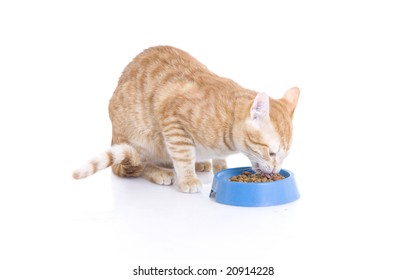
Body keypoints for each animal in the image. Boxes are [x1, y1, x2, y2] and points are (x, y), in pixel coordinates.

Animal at [73, 45, 300, 192]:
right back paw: (161, 171)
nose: (276, 170)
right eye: (271, 153)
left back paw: (199, 164)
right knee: (138, 165)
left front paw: (219, 168)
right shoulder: (173, 121)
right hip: (143, 139)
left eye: (284, 155)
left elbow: (218, 160)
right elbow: (182, 156)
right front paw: (188, 179)